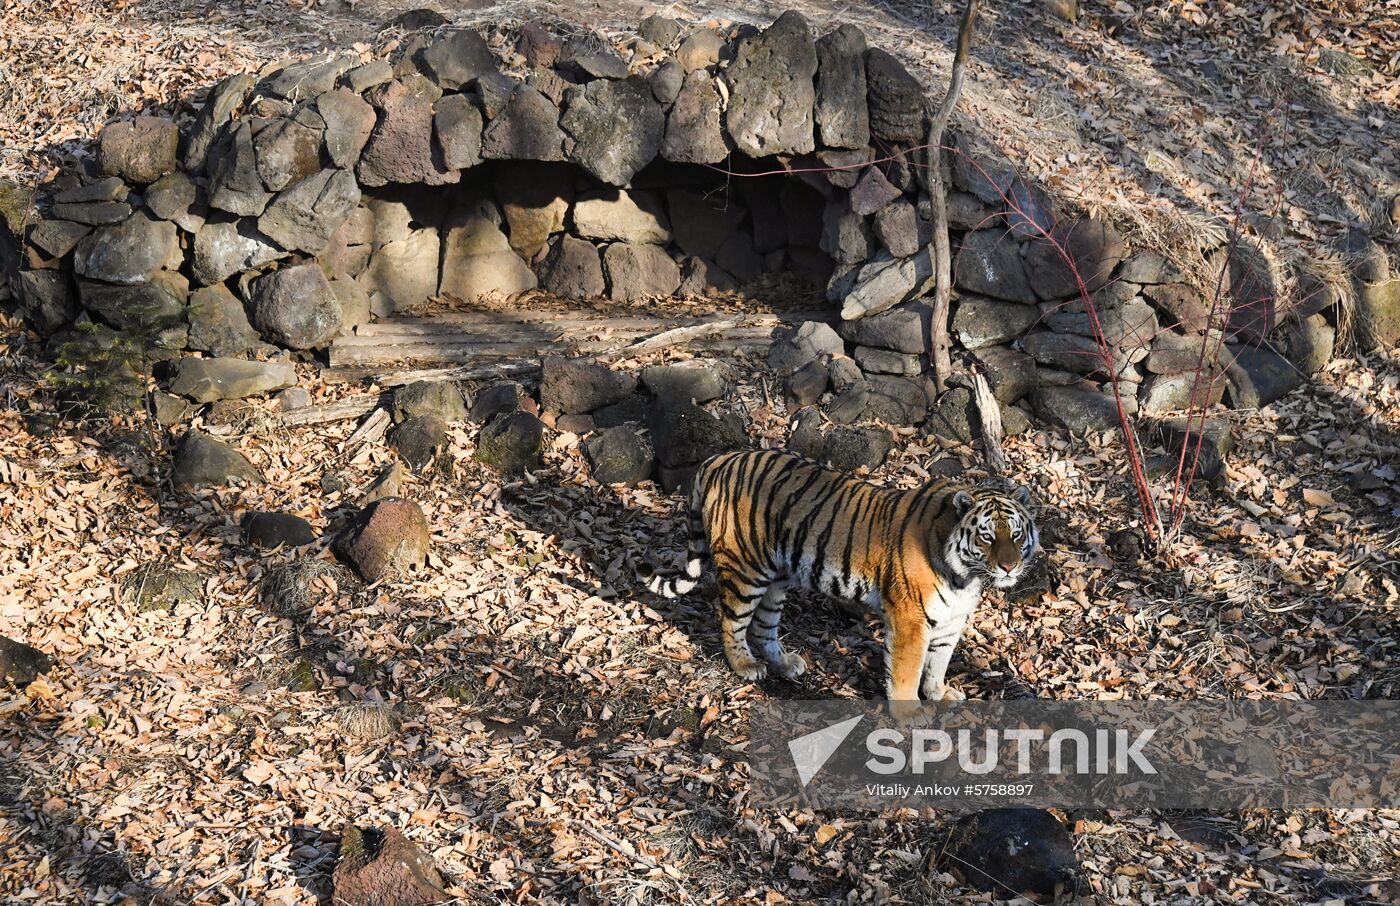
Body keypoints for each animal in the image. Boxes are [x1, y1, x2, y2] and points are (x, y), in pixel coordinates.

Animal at [638, 450, 1041, 711]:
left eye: (1015, 534)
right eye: (987, 537)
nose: (1009, 567)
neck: (965, 577)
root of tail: (717, 460)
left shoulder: (950, 620)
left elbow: (938, 663)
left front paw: (940, 693)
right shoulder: (910, 620)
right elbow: (906, 672)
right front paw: (911, 715)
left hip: (776, 577)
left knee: (763, 626)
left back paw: (785, 664)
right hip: (745, 568)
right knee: (732, 621)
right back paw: (745, 666)